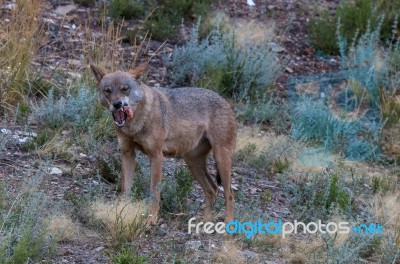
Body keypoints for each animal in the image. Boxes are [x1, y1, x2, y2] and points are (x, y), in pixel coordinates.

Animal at [90, 64, 238, 225]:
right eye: (108, 90)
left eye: (125, 89)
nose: (117, 104)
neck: (135, 124)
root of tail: (225, 101)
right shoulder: (127, 154)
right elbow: (126, 188)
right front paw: (123, 210)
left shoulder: (156, 156)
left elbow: (154, 192)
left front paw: (151, 219)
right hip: (192, 162)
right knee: (212, 189)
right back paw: (205, 221)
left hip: (221, 159)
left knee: (229, 193)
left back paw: (228, 222)